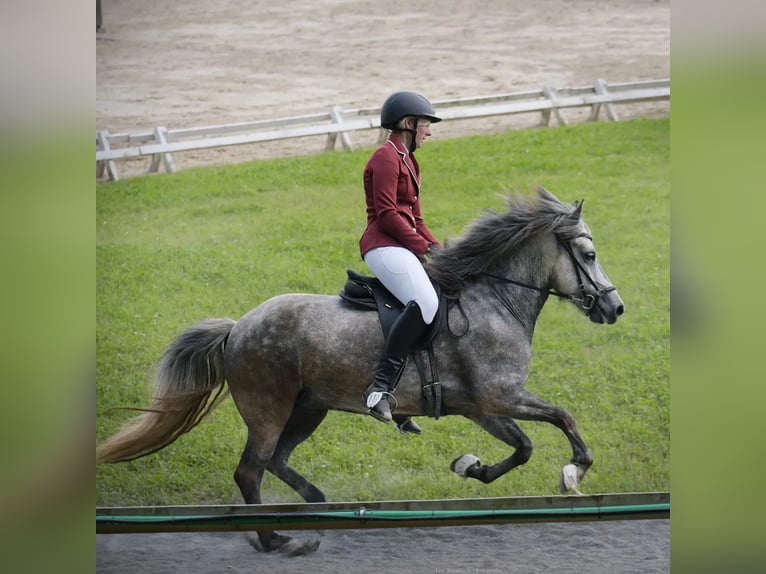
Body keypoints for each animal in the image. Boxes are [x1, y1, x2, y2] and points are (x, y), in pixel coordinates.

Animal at [96, 186, 624, 555]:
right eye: (590, 255)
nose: (614, 308)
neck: (494, 299)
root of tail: (238, 327)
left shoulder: (483, 407)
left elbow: (524, 447)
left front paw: (470, 466)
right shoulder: (500, 397)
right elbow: (561, 419)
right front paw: (574, 472)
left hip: (308, 409)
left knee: (276, 461)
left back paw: (318, 506)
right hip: (269, 409)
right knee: (250, 471)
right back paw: (276, 539)